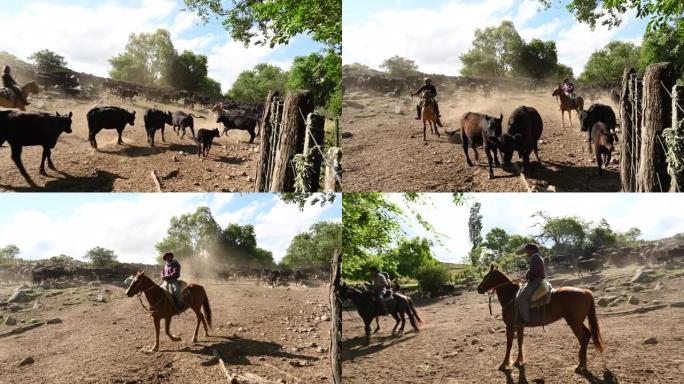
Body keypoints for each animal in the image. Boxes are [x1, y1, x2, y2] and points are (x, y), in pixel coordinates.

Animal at [476, 266, 604, 374]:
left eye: (486, 276)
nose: (479, 289)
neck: (512, 297)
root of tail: (585, 291)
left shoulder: (510, 326)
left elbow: (509, 344)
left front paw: (504, 364)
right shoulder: (519, 326)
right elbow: (520, 342)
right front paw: (519, 361)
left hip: (574, 323)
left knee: (583, 338)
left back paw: (580, 365)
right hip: (577, 322)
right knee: (587, 335)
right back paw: (583, 363)